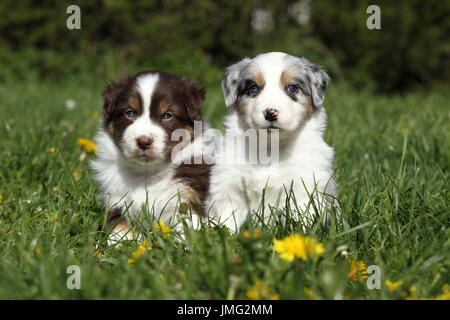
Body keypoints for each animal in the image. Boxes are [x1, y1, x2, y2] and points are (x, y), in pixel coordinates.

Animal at [90, 70, 214, 245]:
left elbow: (188, 226)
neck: (147, 172)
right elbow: (118, 226)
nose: (144, 141)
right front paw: (123, 244)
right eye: (130, 113)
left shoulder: (187, 196)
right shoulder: (115, 199)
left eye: (167, 115)